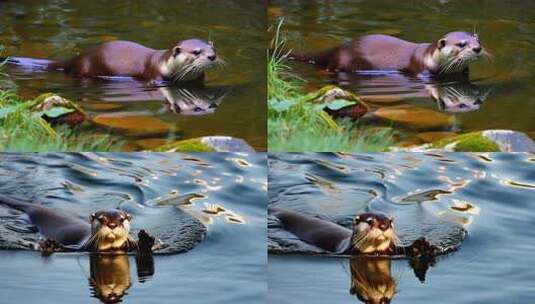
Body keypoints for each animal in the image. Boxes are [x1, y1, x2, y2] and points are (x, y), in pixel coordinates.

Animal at [1, 196, 153, 253]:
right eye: (101, 219)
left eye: (121, 219)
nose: (112, 225)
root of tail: (33, 206)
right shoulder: (82, 247)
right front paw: (50, 244)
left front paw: (146, 238)